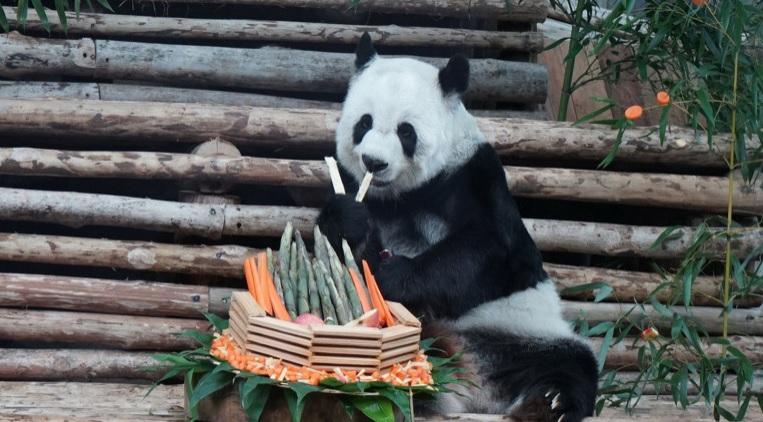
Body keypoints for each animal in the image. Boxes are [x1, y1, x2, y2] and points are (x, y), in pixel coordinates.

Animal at [317, 33, 598, 422]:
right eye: (363, 123)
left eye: (406, 131)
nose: (374, 161)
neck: (400, 196)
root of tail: (473, 389)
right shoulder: (351, 180)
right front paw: (349, 223)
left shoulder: (472, 175)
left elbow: (488, 250)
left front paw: (395, 276)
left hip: (525, 330)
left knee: (571, 363)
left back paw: (550, 401)